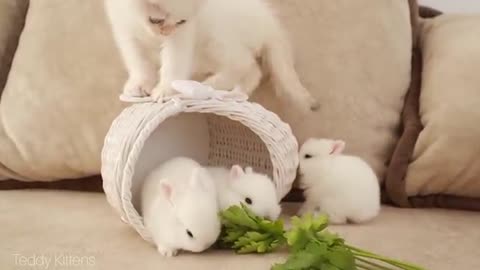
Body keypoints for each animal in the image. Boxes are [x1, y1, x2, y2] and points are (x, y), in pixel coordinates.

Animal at [104, 0, 318, 110]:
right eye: (155, 20)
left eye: (181, 22)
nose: (165, 33)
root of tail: (270, 23)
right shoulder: (122, 28)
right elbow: (136, 59)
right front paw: (139, 84)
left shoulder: (184, 33)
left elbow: (174, 60)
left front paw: (166, 90)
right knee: (253, 71)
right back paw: (236, 92)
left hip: (215, 35)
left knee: (244, 63)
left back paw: (207, 86)